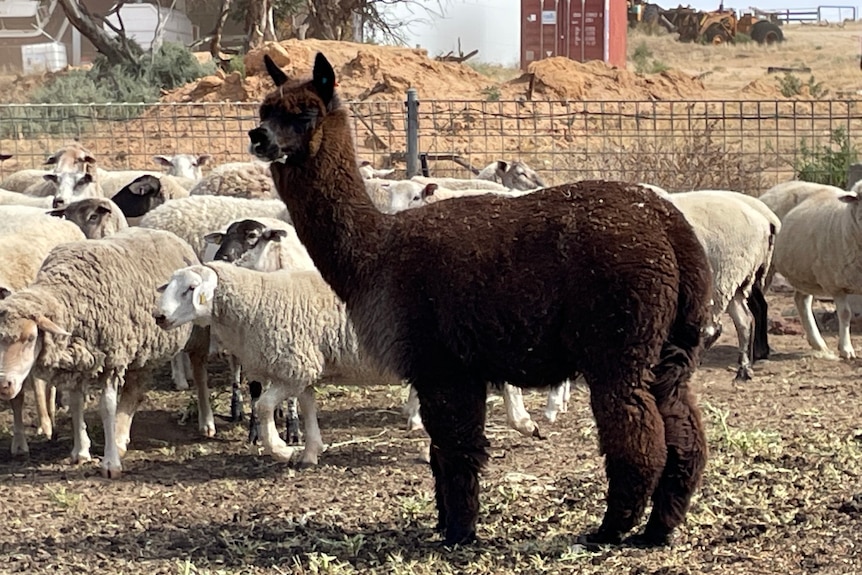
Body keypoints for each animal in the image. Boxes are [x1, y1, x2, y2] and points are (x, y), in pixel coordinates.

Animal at [0, 226, 197, 476]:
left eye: (31, 338)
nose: (3, 384)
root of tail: (158, 230)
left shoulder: (113, 359)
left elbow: (107, 407)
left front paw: (110, 462)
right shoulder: (78, 361)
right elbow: (76, 403)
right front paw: (80, 451)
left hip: (144, 350)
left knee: (133, 393)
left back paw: (119, 439)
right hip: (140, 352)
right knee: (134, 392)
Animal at [155, 264, 398, 466]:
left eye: (191, 288)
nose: (159, 316)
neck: (256, 301)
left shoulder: (295, 368)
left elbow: (263, 406)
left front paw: (281, 449)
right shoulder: (303, 369)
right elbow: (307, 408)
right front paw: (309, 455)